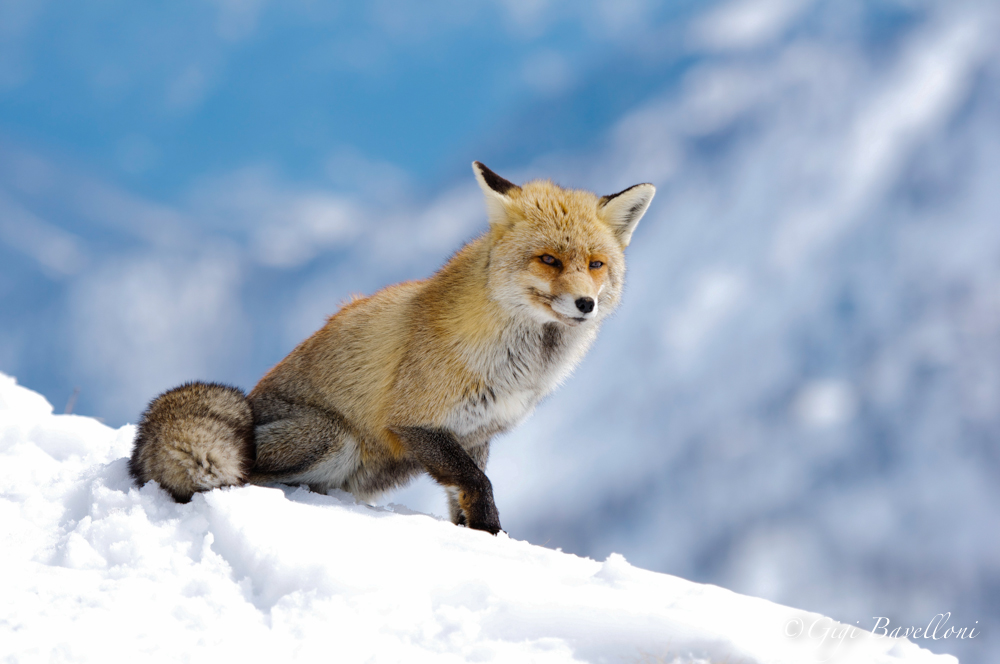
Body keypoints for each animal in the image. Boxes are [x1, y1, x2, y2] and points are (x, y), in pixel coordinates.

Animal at [129, 162, 655, 534]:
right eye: (548, 260)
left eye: (596, 264)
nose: (585, 303)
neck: (519, 367)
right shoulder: (413, 422)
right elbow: (477, 484)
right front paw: (491, 533)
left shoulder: (476, 434)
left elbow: (464, 498)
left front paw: (481, 537)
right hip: (333, 438)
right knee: (249, 477)